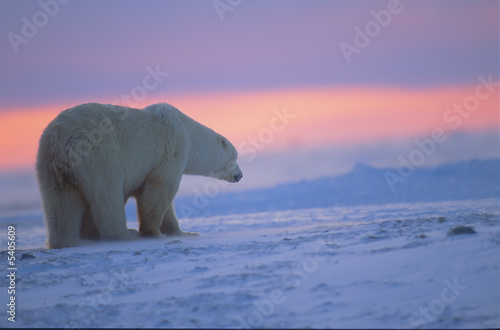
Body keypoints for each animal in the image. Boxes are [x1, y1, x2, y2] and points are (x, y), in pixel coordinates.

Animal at [35, 102, 242, 249]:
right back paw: (126, 234)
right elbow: (160, 188)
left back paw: (72, 241)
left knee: (60, 201)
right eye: (234, 157)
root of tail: (62, 139)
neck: (187, 130)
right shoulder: (172, 148)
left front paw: (183, 233)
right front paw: (153, 233)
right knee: (108, 191)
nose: (240, 175)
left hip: (50, 164)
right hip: (98, 150)